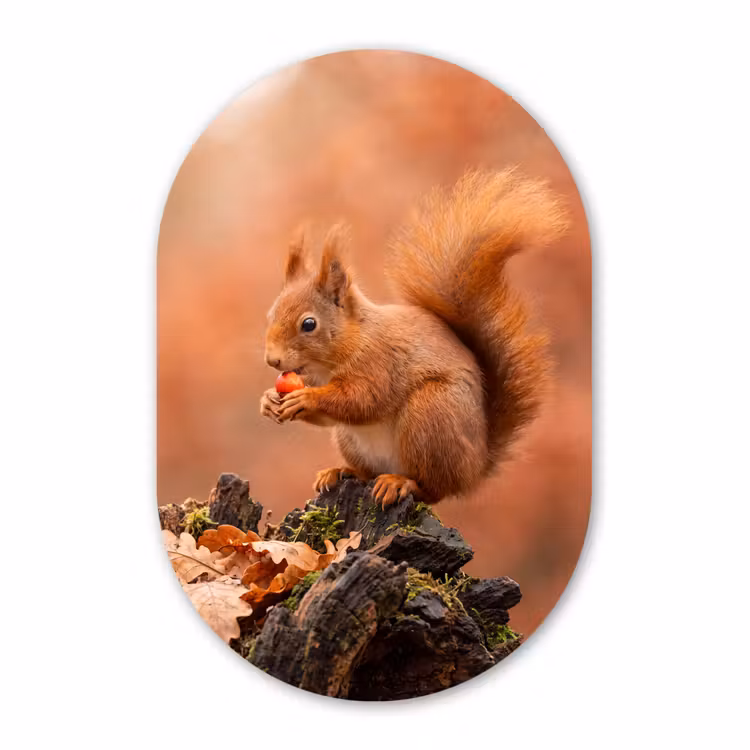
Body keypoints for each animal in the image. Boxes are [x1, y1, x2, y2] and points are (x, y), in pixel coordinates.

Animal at [260, 168, 567, 508]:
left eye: (309, 324)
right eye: (270, 314)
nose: (272, 360)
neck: (343, 348)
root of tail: (475, 469)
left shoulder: (379, 362)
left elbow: (362, 400)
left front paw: (306, 398)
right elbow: (333, 415)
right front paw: (268, 401)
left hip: (430, 414)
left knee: (433, 488)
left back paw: (401, 483)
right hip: (351, 439)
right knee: (367, 471)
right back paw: (340, 472)